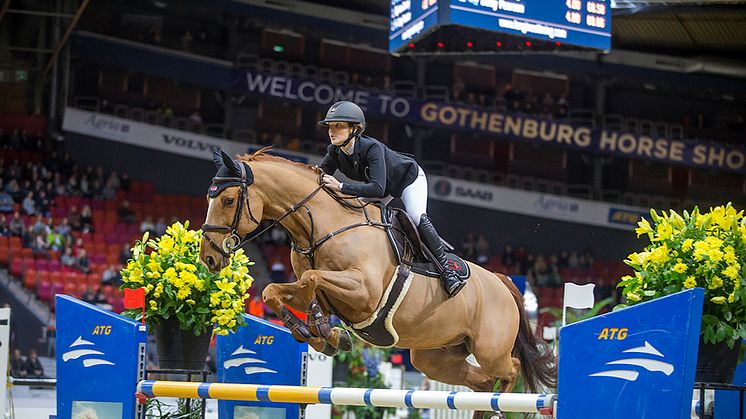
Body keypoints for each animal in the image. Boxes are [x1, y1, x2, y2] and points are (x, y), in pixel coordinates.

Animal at [201, 148, 556, 416]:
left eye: (228, 200)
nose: (208, 258)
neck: (319, 227)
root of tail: (503, 281)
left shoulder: (365, 292)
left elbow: (313, 280)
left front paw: (323, 328)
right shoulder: (312, 288)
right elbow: (276, 290)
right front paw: (316, 333)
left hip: (488, 349)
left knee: (509, 368)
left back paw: (501, 407)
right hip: (435, 358)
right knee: (481, 384)